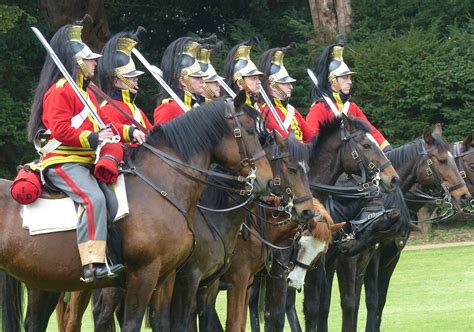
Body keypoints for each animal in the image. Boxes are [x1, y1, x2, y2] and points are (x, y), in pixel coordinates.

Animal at [1, 94, 274, 330]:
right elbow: (134, 323)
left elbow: (164, 323)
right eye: (250, 131)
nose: (269, 181)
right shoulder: (147, 275)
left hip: (44, 281)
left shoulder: (167, 278)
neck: (161, 186)